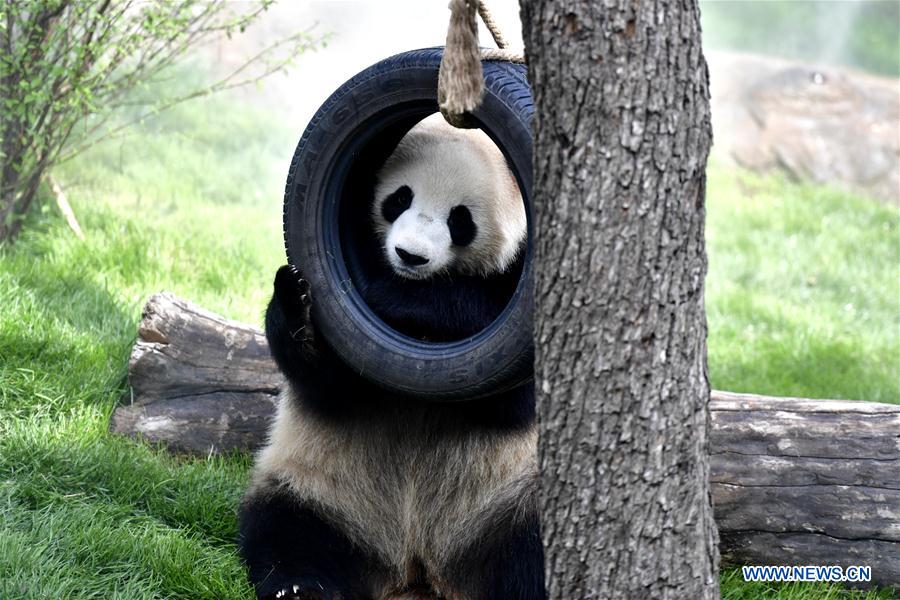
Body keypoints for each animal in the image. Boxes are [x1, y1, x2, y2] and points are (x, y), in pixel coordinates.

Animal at [238, 114, 544, 600]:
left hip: (510, 494)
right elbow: (330, 383)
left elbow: (513, 395)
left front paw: (393, 295)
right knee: (287, 530)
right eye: (399, 198)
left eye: (460, 219)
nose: (409, 256)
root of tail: (416, 566)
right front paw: (295, 297)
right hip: (321, 487)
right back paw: (301, 588)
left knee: (530, 551)